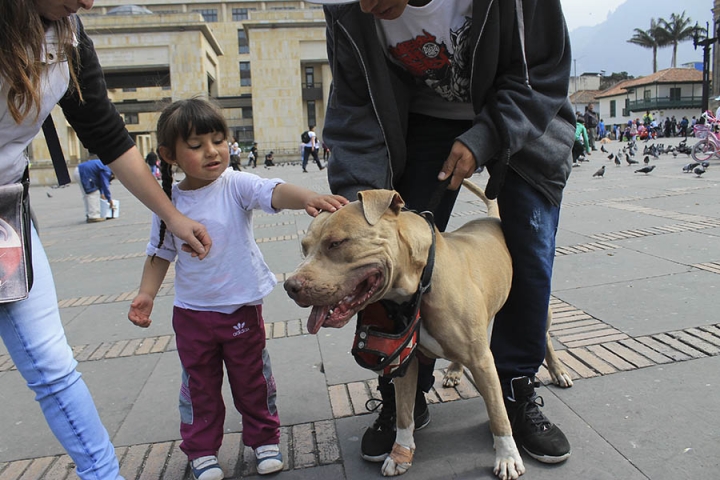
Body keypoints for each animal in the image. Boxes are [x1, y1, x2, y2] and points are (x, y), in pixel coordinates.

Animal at [284, 181, 572, 480]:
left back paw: (558, 371)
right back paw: (455, 370)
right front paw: (400, 453)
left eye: (336, 243)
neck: (421, 281)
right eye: (304, 248)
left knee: (544, 337)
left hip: (539, 306)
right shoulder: (404, 361)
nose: (290, 286)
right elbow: (403, 413)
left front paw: (507, 457)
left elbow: (497, 412)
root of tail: (494, 217)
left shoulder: (483, 361)